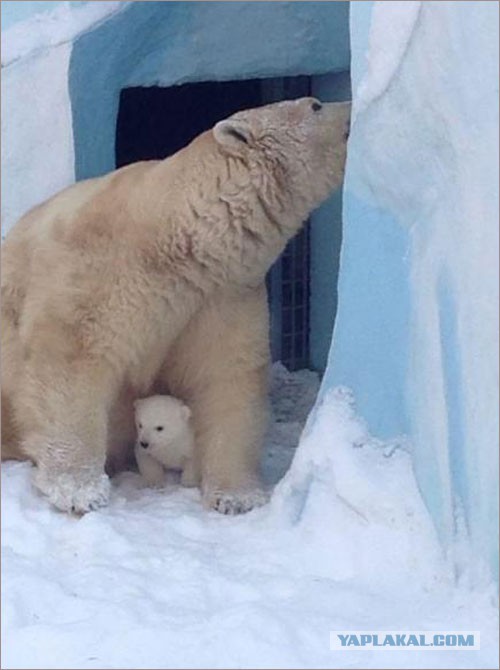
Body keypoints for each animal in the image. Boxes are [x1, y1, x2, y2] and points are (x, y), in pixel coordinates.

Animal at [1, 98, 350, 516]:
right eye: (315, 105)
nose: (351, 106)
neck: (176, 239)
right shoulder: (96, 269)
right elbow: (70, 362)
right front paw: (80, 491)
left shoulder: (220, 295)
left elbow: (226, 376)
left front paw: (236, 496)